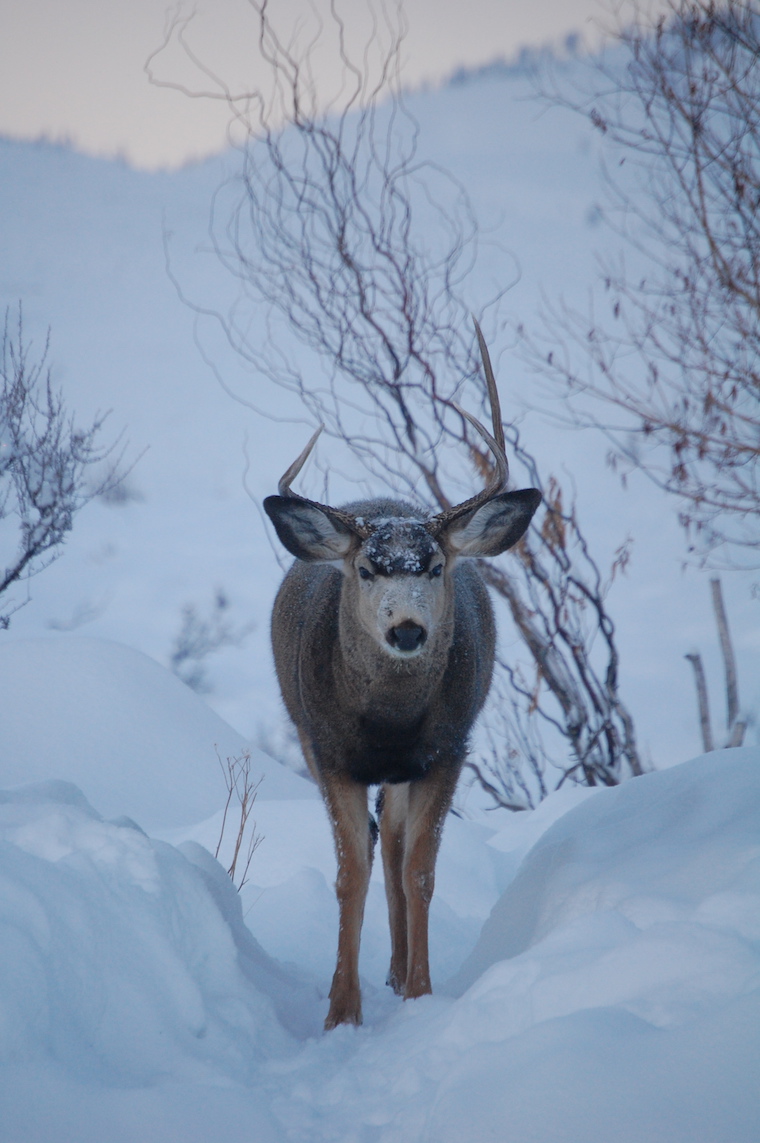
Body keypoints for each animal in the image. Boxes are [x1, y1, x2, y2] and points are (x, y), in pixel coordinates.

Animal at [263, 324, 541, 1029]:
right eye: (367, 569)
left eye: (435, 567)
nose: (408, 630)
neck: (389, 721)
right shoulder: (329, 752)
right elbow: (349, 875)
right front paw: (340, 1013)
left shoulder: (447, 748)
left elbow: (418, 871)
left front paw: (419, 993)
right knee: (374, 850)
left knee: (392, 845)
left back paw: (394, 971)